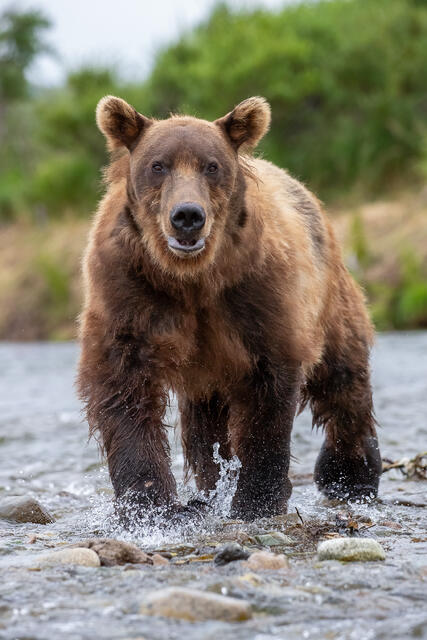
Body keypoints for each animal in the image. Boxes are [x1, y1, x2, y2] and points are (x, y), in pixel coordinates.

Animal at [77, 95, 382, 522]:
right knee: (204, 428)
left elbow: (269, 389)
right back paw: (210, 488)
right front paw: (151, 504)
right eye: (158, 165)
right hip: (206, 374)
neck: (191, 277)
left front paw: (255, 499)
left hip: (329, 297)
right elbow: (123, 383)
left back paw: (350, 475)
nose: (187, 216)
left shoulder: (257, 294)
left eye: (212, 165)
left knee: (342, 380)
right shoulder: (129, 289)